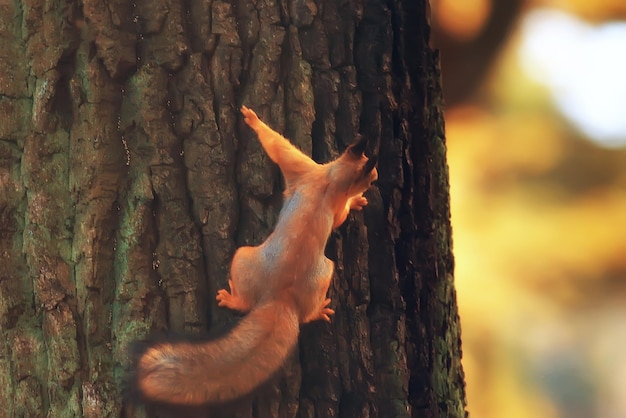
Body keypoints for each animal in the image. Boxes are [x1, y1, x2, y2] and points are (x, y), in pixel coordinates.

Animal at [133, 104, 376, 404]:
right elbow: (279, 148)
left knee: (271, 307)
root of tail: (280, 296)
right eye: (369, 174)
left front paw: (253, 120)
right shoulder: (308, 171)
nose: (375, 180)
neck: (332, 180)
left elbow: (278, 147)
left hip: (246, 258)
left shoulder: (306, 172)